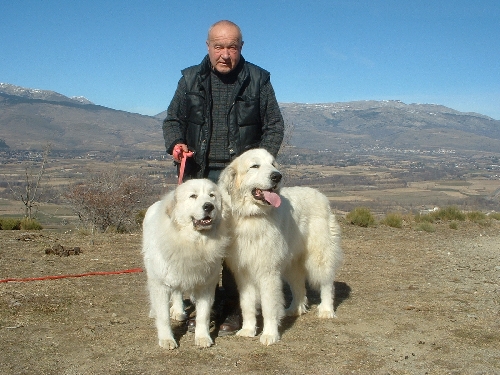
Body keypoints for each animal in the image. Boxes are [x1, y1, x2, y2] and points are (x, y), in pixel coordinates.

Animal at [142, 179, 229, 350]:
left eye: (212, 195)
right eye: (193, 196)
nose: (209, 206)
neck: (193, 242)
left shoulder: (206, 285)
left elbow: (203, 315)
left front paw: (202, 337)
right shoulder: (161, 284)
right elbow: (163, 317)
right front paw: (167, 339)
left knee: (177, 292)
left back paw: (179, 311)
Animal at [220, 149, 344, 346]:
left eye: (273, 164)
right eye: (255, 166)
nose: (277, 176)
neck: (252, 216)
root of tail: (320, 195)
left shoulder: (268, 272)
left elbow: (269, 307)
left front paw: (270, 334)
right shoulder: (244, 273)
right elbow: (247, 305)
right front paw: (247, 330)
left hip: (319, 256)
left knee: (326, 283)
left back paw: (326, 310)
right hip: (292, 263)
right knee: (299, 286)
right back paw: (295, 309)